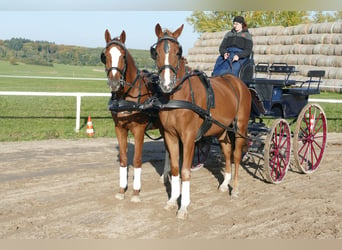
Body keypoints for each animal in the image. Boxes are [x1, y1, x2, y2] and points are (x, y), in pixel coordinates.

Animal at [101, 28, 162, 203]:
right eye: (105, 56)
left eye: (122, 56)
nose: (114, 83)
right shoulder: (120, 128)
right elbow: (123, 159)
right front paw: (122, 190)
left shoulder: (139, 130)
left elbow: (136, 160)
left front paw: (135, 192)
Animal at [151, 23, 252, 219]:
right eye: (156, 52)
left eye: (177, 52)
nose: (166, 84)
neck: (177, 97)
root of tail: (237, 82)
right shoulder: (170, 136)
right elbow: (175, 168)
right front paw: (172, 200)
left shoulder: (189, 137)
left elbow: (185, 171)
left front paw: (183, 207)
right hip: (222, 130)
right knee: (227, 152)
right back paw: (224, 184)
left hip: (240, 127)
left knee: (236, 155)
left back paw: (235, 189)